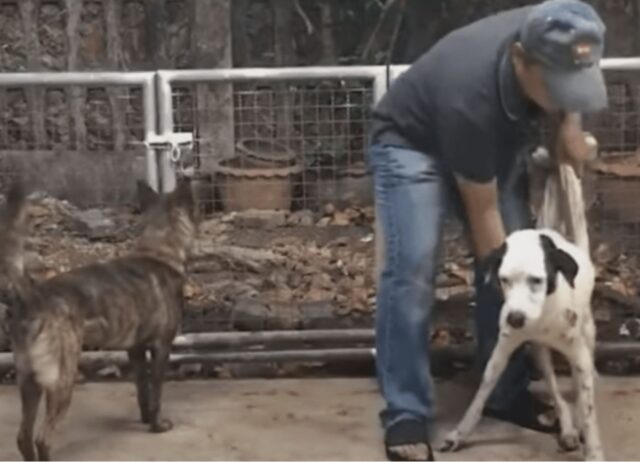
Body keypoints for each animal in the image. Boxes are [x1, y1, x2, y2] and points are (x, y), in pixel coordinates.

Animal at [3, 179, 198, 460]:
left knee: (23, 438)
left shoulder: (135, 350)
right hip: (61, 380)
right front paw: (157, 425)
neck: (158, 252)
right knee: (42, 439)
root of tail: (32, 295)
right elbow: (156, 392)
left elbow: (142, 390)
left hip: (29, 381)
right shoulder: (161, 348)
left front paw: (144, 419)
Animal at [440, 228, 604, 462]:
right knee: (555, 392)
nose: (515, 319)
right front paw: (460, 433)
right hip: (539, 354)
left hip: (588, 333)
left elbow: (589, 412)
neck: (542, 318)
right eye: (504, 279)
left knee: (581, 382)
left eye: (536, 280)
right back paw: (567, 429)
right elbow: (481, 394)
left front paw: (594, 452)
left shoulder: (579, 355)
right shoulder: (501, 352)